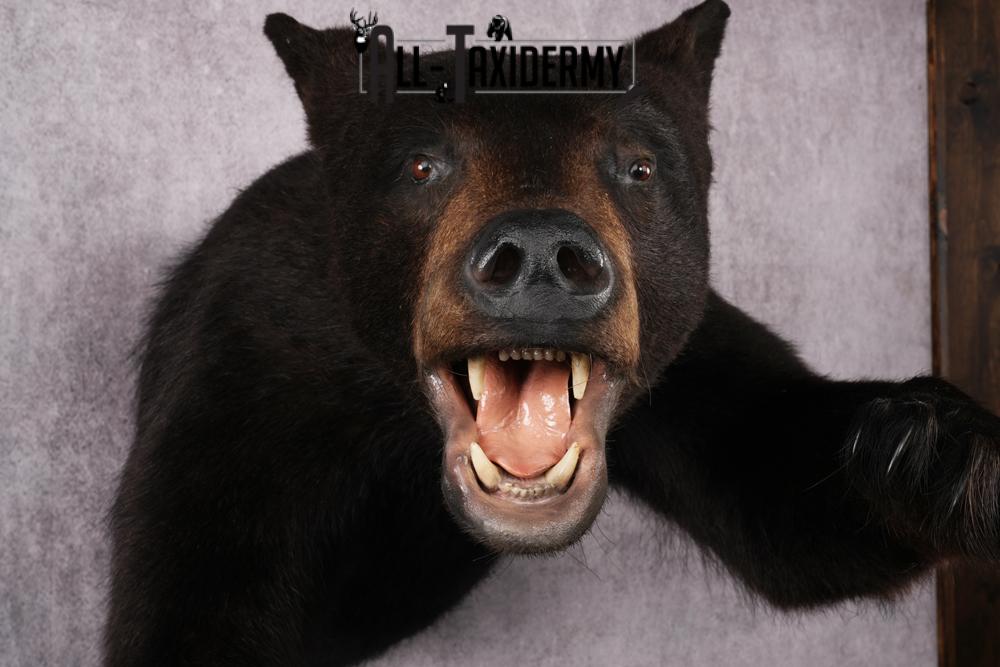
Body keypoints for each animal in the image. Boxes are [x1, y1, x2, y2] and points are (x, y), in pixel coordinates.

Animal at [104, 1, 1000, 665]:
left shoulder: (683, 349)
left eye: (638, 166)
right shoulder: (246, 372)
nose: (539, 255)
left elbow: (781, 489)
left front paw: (936, 449)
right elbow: (195, 600)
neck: (404, 422)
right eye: (422, 165)